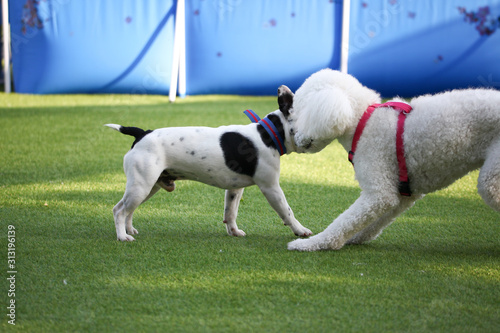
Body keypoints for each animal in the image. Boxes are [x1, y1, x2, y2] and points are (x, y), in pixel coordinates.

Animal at [105, 91, 310, 241]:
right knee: (120, 211)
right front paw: (300, 230)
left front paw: (233, 231)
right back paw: (122, 237)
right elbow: (287, 211)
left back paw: (129, 229)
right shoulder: (271, 187)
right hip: (141, 186)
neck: (267, 134)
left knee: (127, 209)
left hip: (148, 187)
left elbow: (231, 212)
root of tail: (141, 133)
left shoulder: (235, 189)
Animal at [278, 68, 500, 250]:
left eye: (299, 112)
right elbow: (371, 222)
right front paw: (355, 237)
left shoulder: (379, 190)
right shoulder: (402, 192)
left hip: (491, 178)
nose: (295, 138)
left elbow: (344, 221)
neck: (363, 120)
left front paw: (312, 243)